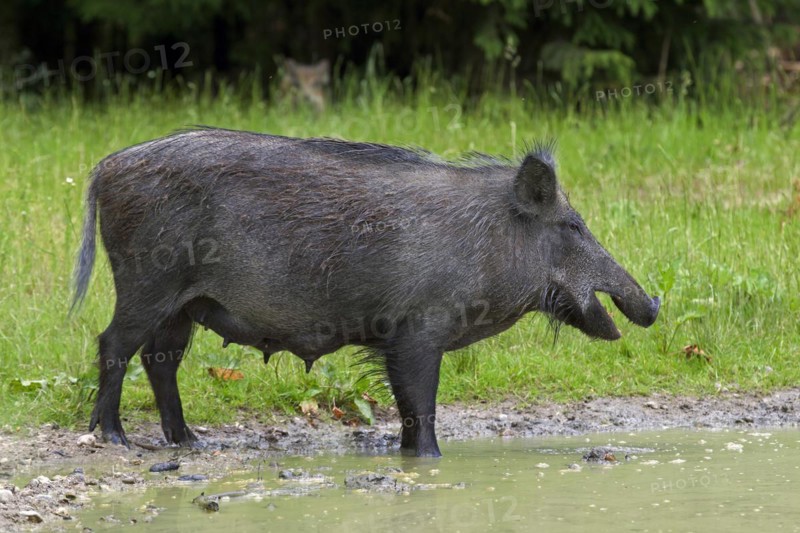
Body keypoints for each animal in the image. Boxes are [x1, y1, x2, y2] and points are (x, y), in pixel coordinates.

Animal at [71, 128, 660, 457]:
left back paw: (190, 441)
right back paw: (116, 439)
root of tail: (106, 167)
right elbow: (420, 405)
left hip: (184, 305)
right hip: (146, 284)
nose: (653, 304)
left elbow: (407, 410)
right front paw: (430, 460)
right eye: (573, 226)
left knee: (160, 359)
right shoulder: (416, 332)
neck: (486, 238)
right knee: (112, 344)